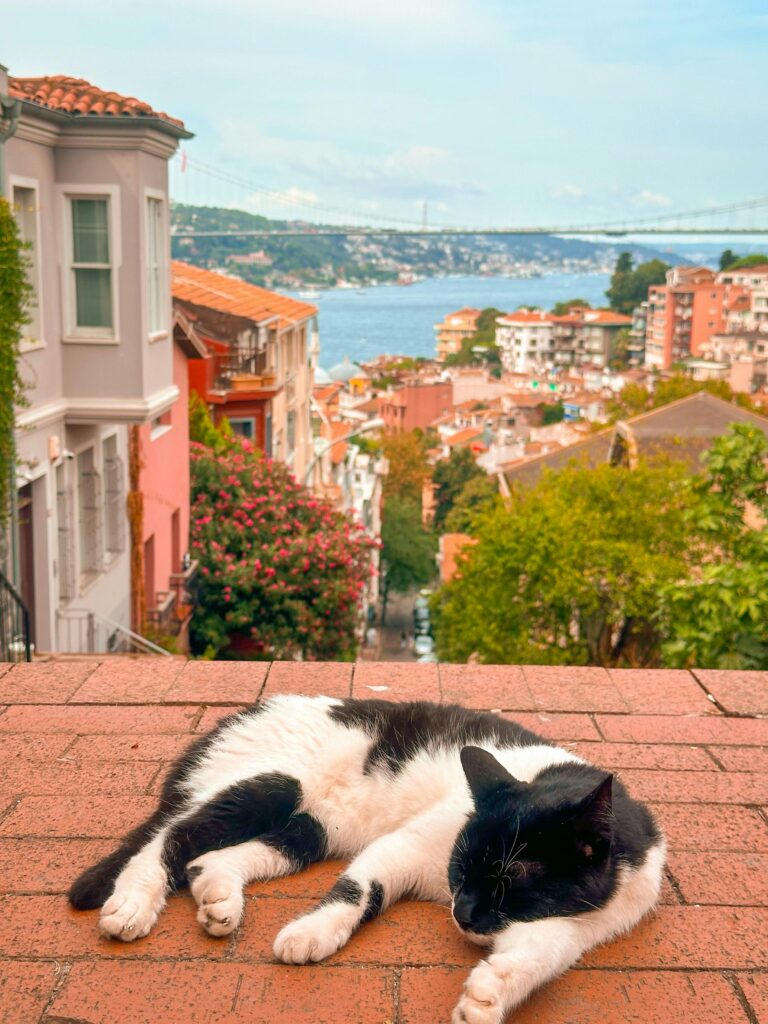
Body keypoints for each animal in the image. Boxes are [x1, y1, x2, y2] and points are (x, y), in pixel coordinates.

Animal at [69, 696, 663, 1024]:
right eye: (461, 867)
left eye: (511, 879)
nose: (461, 912)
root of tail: (239, 715)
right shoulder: (407, 844)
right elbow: (358, 891)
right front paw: (312, 934)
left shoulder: (582, 922)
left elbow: (544, 953)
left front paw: (489, 996)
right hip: (274, 782)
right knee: (169, 838)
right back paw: (133, 904)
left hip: (312, 828)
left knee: (212, 856)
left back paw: (218, 894)